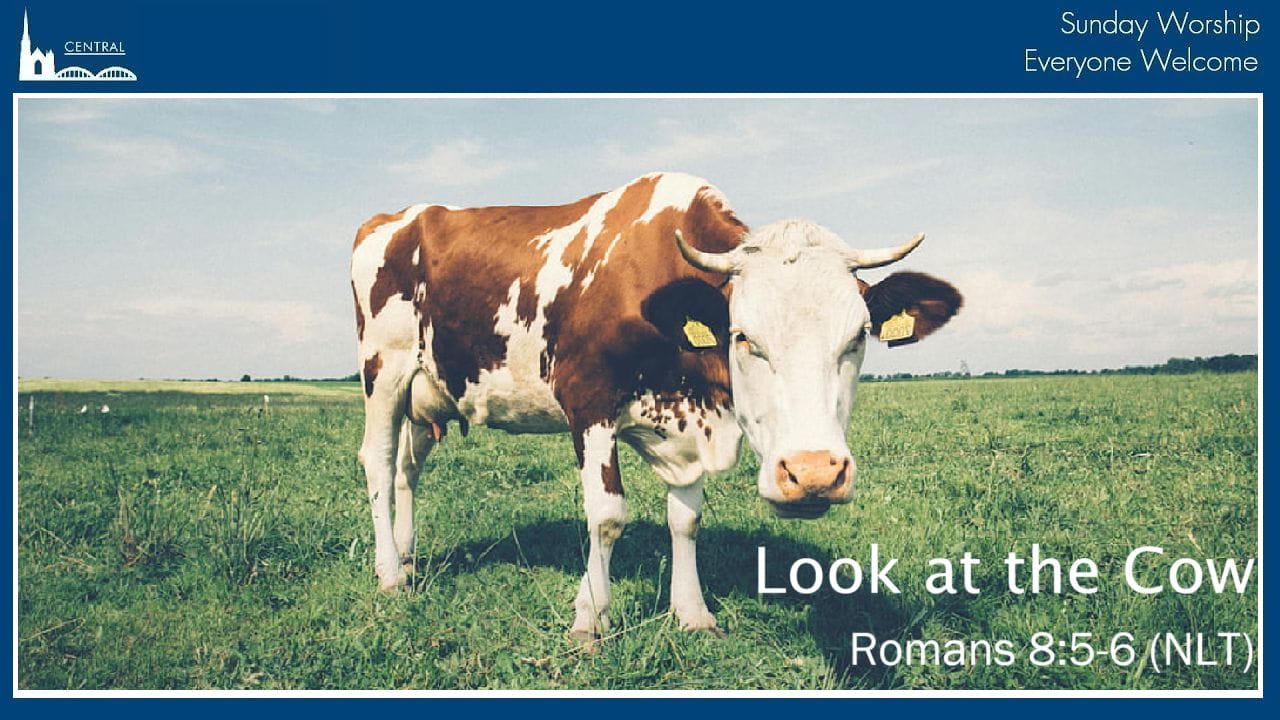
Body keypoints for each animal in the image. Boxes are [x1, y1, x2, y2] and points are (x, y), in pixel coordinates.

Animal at [350, 172, 961, 643]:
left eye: (858, 337)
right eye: (742, 337)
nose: (813, 474)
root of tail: (396, 216)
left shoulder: (695, 426)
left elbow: (685, 520)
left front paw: (692, 613)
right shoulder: (589, 403)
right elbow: (607, 516)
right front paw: (590, 619)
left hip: (427, 392)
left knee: (407, 470)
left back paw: (407, 556)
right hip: (384, 369)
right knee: (378, 462)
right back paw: (389, 574)